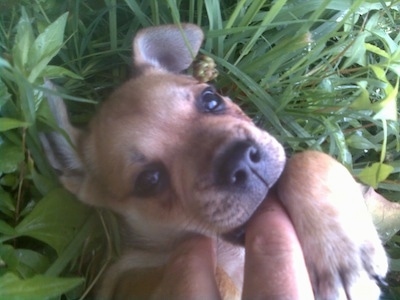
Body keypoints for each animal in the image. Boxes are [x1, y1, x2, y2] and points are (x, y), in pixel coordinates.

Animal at [41, 24, 388, 300]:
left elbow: (309, 158)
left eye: (210, 100)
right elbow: (215, 279)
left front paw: (343, 252)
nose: (240, 160)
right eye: (149, 181)